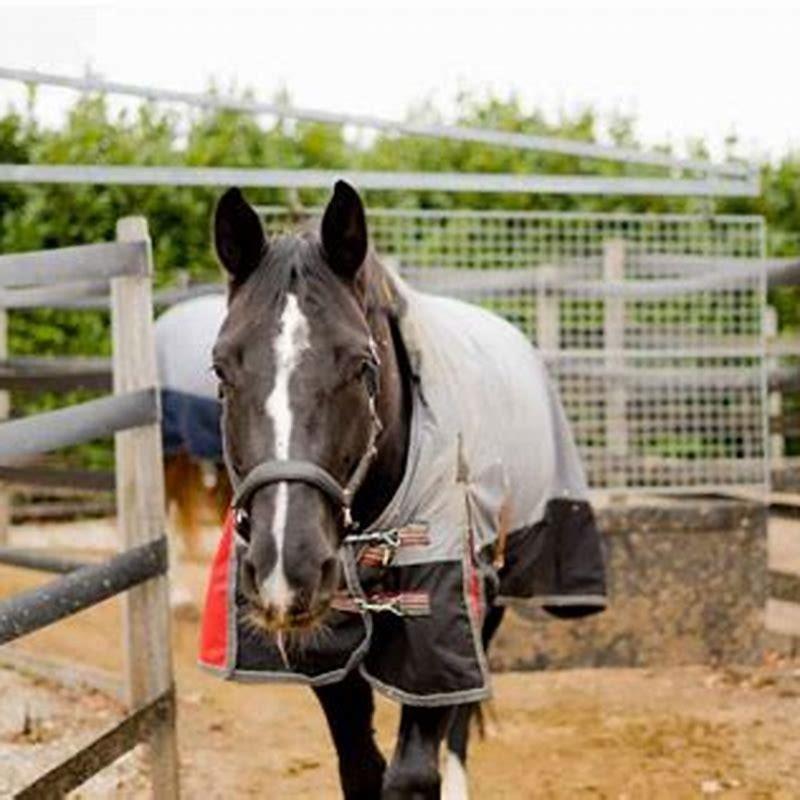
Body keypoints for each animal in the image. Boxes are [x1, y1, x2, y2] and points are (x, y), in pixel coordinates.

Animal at [199, 182, 607, 798]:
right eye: (222, 370)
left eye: (361, 365)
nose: (285, 565)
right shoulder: (327, 644)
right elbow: (361, 768)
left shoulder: (439, 615)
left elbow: (414, 770)